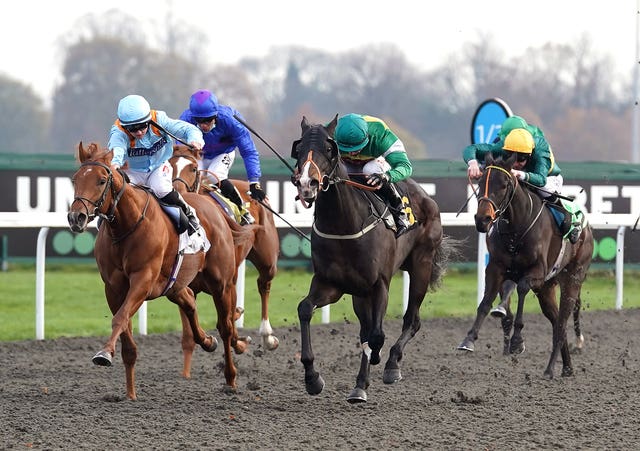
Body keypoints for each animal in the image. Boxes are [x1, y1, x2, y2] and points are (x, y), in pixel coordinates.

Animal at [67, 143, 252, 400]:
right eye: (76, 179)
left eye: (102, 181)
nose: (76, 217)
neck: (126, 226)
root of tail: (215, 208)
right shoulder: (113, 288)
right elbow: (125, 333)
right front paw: (130, 393)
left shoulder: (143, 281)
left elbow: (120, 318)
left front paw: (103, 354)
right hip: (175, 284)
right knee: (190, 303)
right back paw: (207, 341)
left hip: (221, 283)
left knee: (225, 327)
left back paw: (231, 377)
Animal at [170, 147, 280, 376]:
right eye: (170, 164)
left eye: (193, 168)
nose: (176, 193)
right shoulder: (184, 285)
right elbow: (191, 330)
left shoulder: (227, 281)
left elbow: (226, 322)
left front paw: (239, 340)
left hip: (267, 260)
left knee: (263, 284)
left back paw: (267, 336)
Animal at [290, 115, 456, 402]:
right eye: (299, 149)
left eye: (329, 149)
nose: (306, 184)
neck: (344, 226)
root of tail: (425, 195)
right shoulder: (330, 284)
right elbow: (305, 309)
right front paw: (313, 378)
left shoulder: (379, 284)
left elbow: (376, 335)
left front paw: (379, 359)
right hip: (360, 292)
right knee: (366, 328)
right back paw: (360, 384)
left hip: (421, 265)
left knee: (411, 320)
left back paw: (391, 365)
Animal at [458, 154, 592, 380]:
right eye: (480, 182)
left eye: (504, 185)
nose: (482, 219)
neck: (516, 229)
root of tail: (587, 229)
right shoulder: (495, 268)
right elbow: (485, 302)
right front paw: (469, 339)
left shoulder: (536, 272)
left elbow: (521, 288)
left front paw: (517, 341)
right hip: (546, 288)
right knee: (556, 322)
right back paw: (567, 367)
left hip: (572, 278)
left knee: (562, 323)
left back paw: (550, 369)